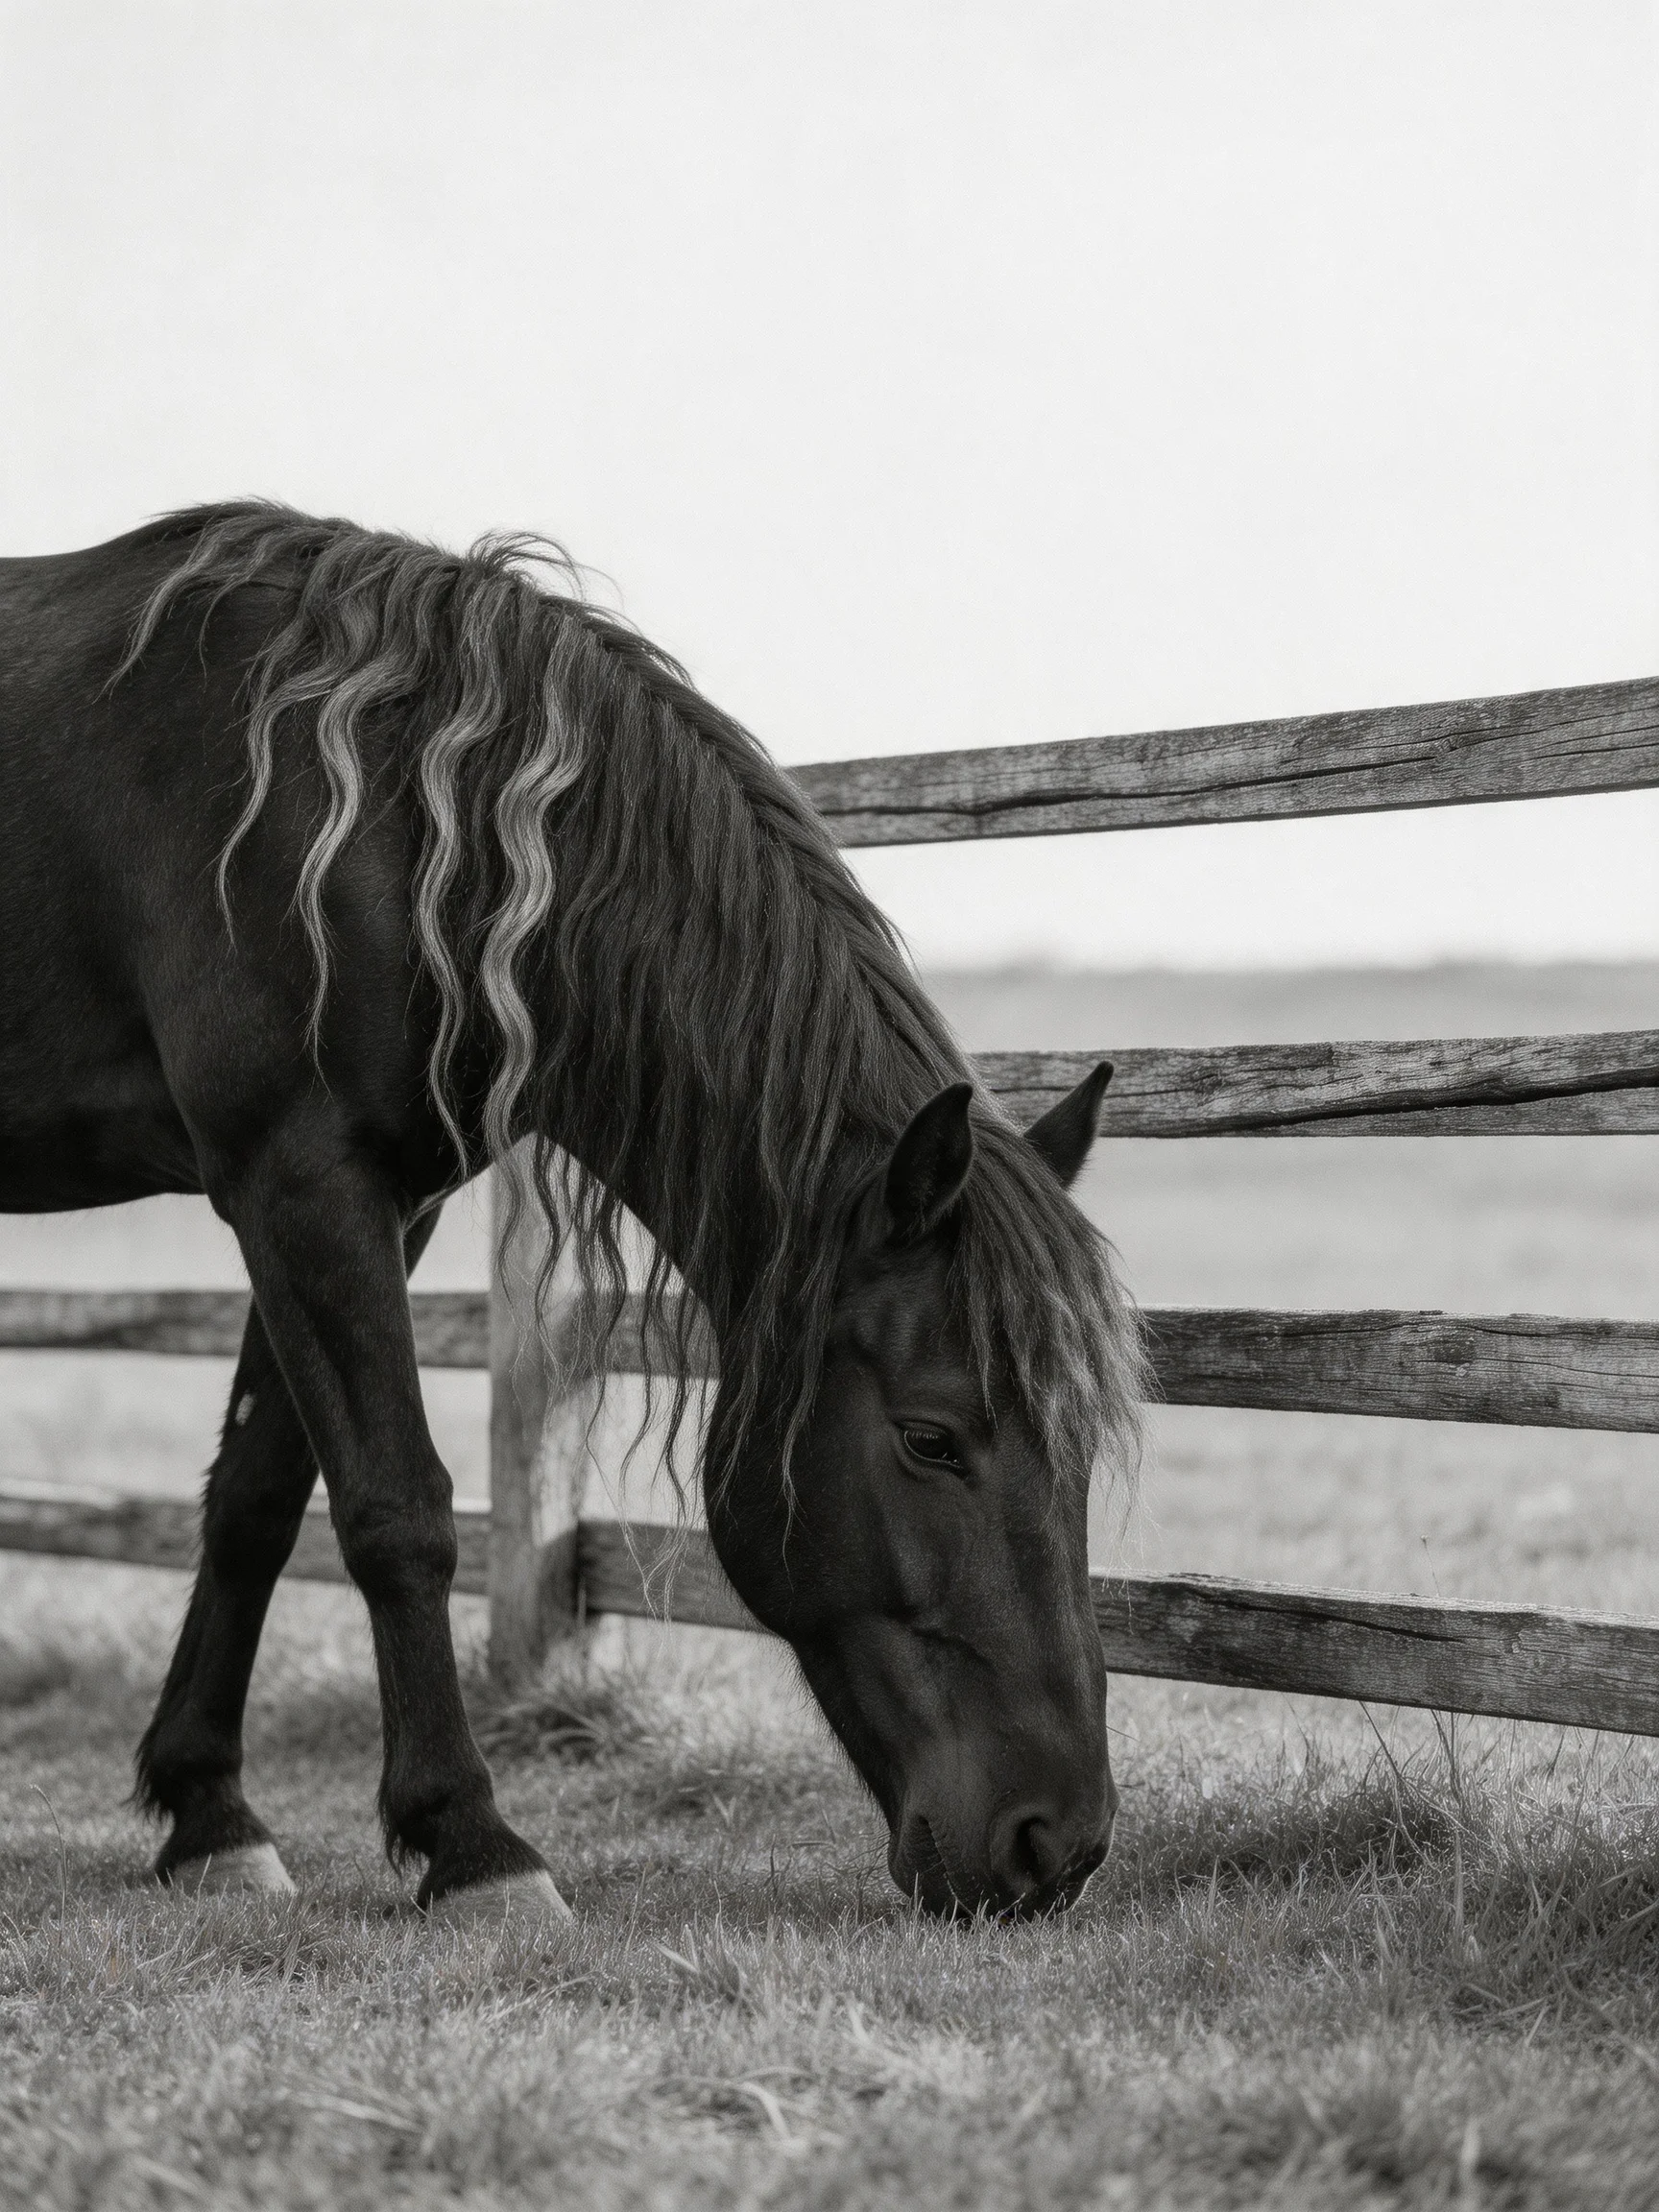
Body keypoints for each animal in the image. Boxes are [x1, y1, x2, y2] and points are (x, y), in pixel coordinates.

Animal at [0, 504, 1144, 1921]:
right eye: (933, 1439)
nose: (1060, 1844)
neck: (377, 811)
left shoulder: (367, 1202)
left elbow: (257, 1501)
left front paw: (210, 1815)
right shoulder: (297, 1175)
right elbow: (397, 1510)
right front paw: (475, 1841)